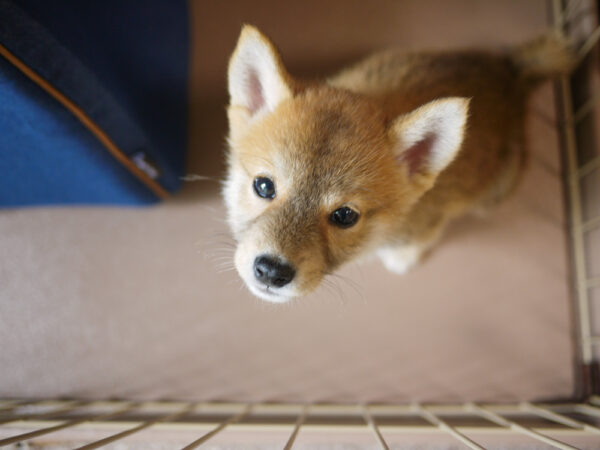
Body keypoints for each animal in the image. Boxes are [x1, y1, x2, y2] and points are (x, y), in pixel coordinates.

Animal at [223, 24, 576, 302]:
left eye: (345, 216)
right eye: (263, 186)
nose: (271, 271)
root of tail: (510, 72)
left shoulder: (427, 227)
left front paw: (401, 260)